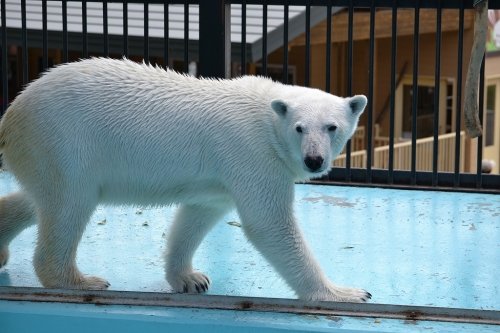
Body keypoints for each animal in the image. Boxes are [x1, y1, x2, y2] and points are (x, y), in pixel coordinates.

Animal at [0, 57, 370, 300]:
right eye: (299, 128)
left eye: (332, 127)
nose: (313, 160)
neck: (266, 116)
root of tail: (12, 114)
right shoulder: (253, 153)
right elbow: (269, 224)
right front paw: (343, 292)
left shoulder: (220, 179)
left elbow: (197, 215)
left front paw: (190, 278)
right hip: (65, 142)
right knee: (69, 205)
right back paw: (80, 281)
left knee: (37, 200)